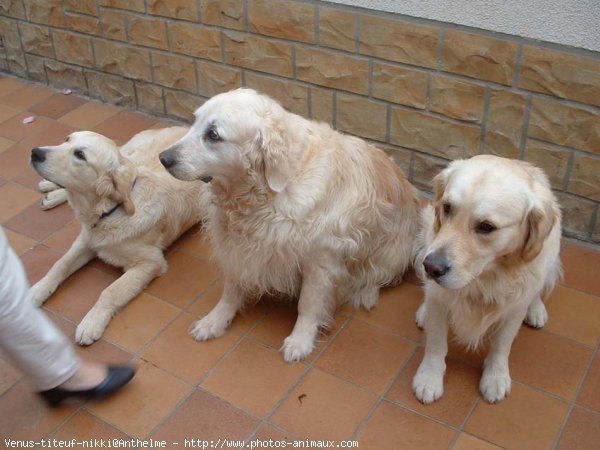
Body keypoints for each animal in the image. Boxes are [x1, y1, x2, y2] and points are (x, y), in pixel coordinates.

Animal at [29, 126, 207, 344]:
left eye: (80, 155)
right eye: (67, 139)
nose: (35, 152)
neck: (108, 211)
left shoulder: (150, 262)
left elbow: (110, 291)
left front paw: (91, 323)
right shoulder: (86, 240)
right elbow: (59, 264)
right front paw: (38, 290)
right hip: (132, 154)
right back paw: (49, 190)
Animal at [159, 88, 422, 362]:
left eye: (213, 134)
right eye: (194, 121)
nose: (163, 158)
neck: (263, 194)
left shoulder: (321, 259)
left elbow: (308, 304)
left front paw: (300, 340)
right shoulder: (236, 246)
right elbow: (231, 289)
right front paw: (216, 320)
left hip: (394, 252)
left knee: (378, 276)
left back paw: (366, 292)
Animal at [412, 156, 564, 404]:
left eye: (487, 227)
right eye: (447, 207)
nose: (431, 267)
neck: (485, 277)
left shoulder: (513, 310)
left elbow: (502, 345)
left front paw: (496, 377)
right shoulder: (439, 298)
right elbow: (436, 342)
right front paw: (429, 378)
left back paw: (536, 309)